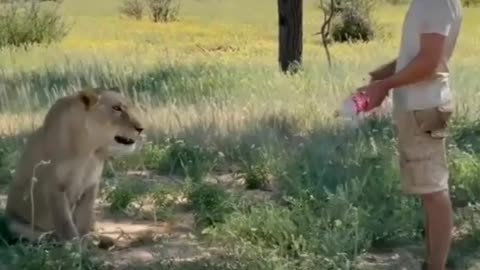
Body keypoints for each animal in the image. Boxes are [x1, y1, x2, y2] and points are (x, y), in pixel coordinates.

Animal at [0, 87, 145, 245]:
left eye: (130, 107)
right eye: (116, 108)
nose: (141, 128)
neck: (88, 149)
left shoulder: (91, 185)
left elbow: (85, 218)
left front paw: (87, 239)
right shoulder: (55, 187)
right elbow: (65, 222)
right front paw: (75, 244)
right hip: (15, 224)